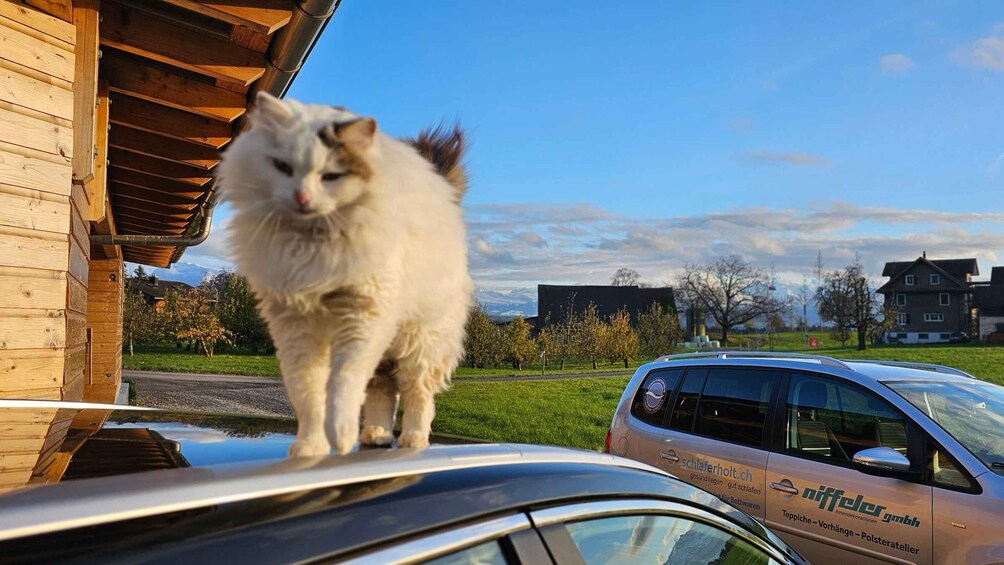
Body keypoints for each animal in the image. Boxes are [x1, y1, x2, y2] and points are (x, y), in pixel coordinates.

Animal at [214, 91, 469, 455]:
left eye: (331, 176)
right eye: (283, 167)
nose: (302, 197)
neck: (312, 247)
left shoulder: (364, 318)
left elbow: (344, 383)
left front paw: (340, 434)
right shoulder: (295, 326)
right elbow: (308, 394)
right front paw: (310, 446)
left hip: (419, 342)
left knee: (417, 395)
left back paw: (412, 440)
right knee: (382, 392)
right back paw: (375, 435)